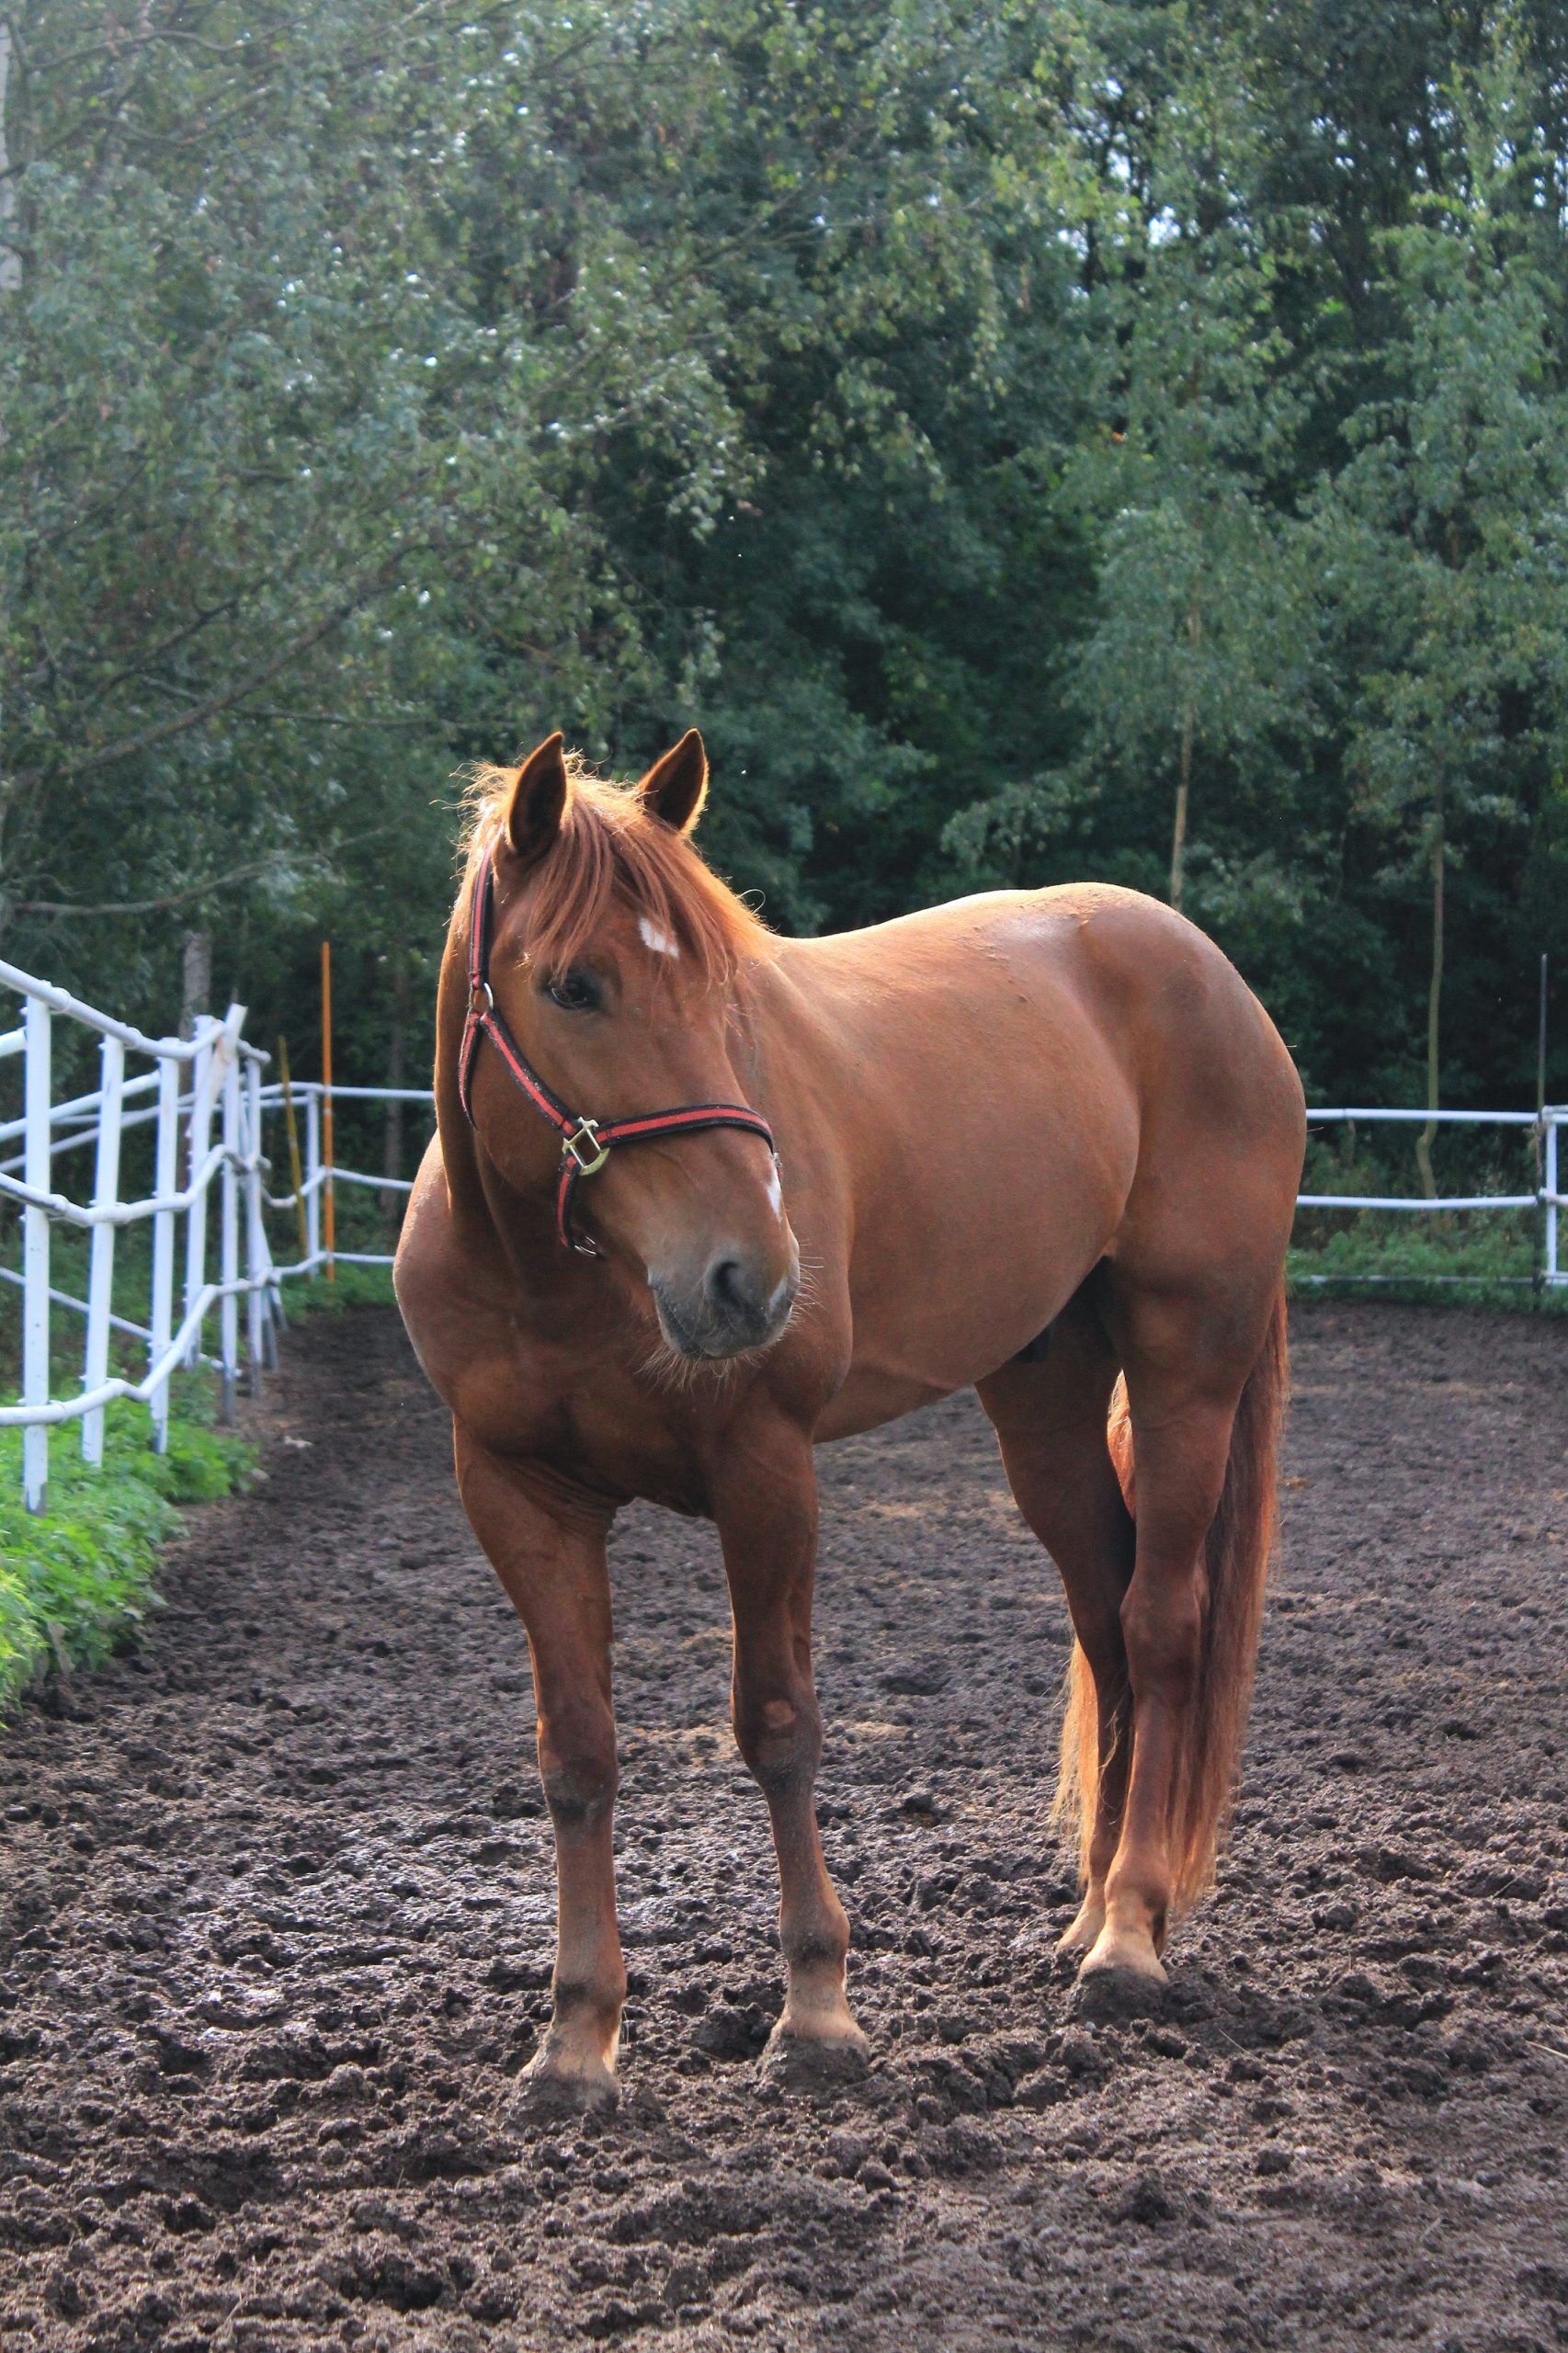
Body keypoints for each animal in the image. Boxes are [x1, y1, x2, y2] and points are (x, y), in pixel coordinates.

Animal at [397, 724, 1299, 2108]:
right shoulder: (517, 1496)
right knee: (1102, 1618)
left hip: (1185, 1370)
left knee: (1159, 1627)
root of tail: (1206, 971)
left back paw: (1130, 1938)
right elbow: (577, 1755)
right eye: (573, 987)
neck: (559, 1274)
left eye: (724, 990)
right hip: (1043, 1401)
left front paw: (816, 2012)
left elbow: (776, 1727)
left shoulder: (764, 1473)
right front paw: (575, 2038)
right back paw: (1090, 1911)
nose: (749, 1278)